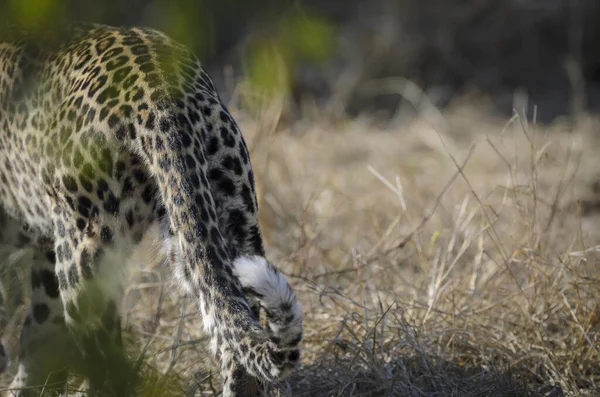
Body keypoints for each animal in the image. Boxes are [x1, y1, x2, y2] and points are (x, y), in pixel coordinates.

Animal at [0, 22, 302, 396]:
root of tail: (157, 91)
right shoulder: (44, 248)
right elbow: (41, 326)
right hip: (218, 218)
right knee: (233, 334)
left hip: (83, 246)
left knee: (107, 360)